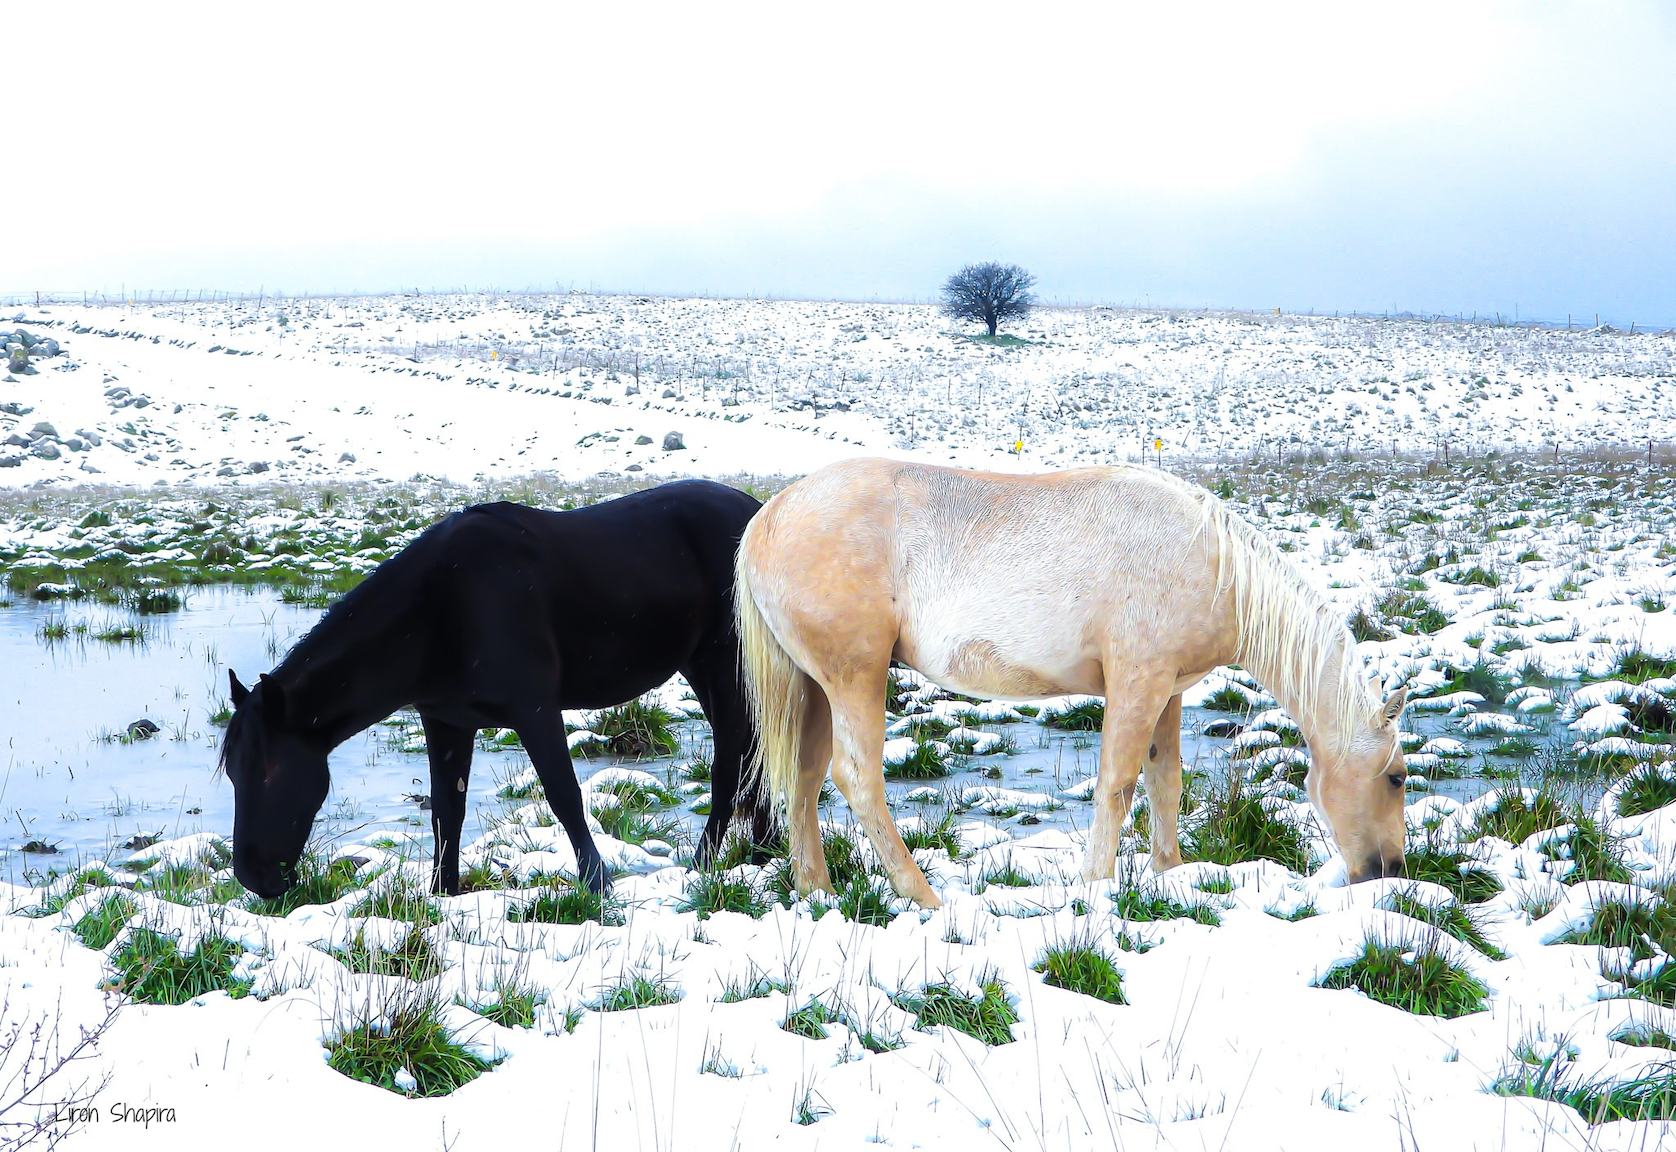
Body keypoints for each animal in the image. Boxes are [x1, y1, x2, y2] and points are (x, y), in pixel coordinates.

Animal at [222, 476, 770, 898]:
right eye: (232, 770)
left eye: (270, 770)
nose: (254, 877)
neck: (442, 608)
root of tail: (758, 511)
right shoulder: (446, 722)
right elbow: (447, 809)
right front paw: (443, 892)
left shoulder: (535, 710)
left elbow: (563, 794)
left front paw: (597, 884)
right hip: (705, 670)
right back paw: (761, 853)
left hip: (727, 666)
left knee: (731, 762)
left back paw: (703, 864)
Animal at [740, 459, 1407, 912]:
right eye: (1397, 778)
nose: (1389, 872)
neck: (1213, 563)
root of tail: (766, 519)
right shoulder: (1137, 683)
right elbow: (1118, 785)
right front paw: (1096, 888)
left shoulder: (1169, 691)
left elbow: (1165, 785)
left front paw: (1171, 875)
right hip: (856, 680)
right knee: (857, 779)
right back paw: (922, 895)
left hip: (815, 690)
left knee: (803, 780)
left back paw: (817, 892)